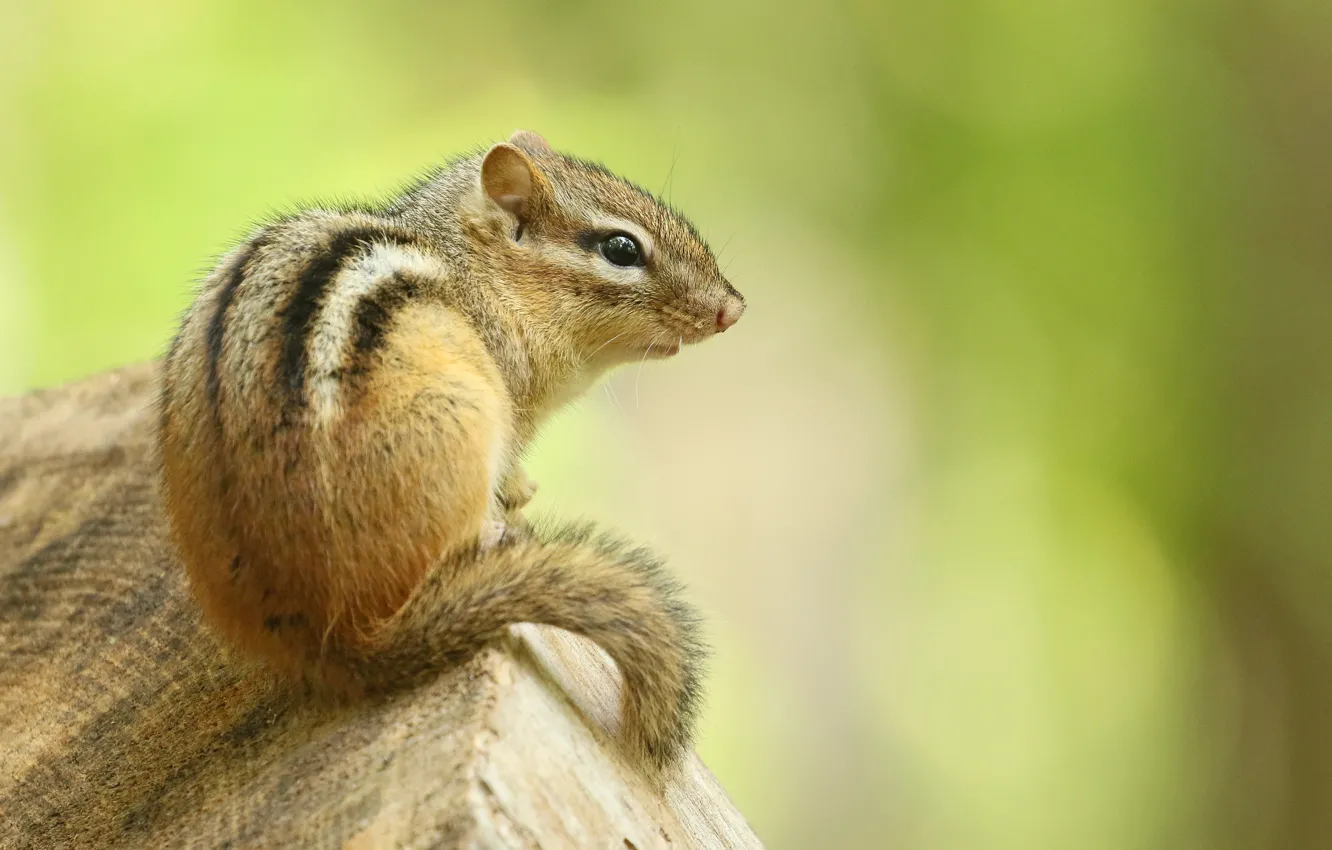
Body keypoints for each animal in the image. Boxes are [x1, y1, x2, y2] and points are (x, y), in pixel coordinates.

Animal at [156, 130, 745, 773]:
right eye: (621, 248)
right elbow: (510, 466)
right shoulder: (509, 399)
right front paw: (518, 493)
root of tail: (332, 635)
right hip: (462, 414)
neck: (476, 269)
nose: (732, 308)